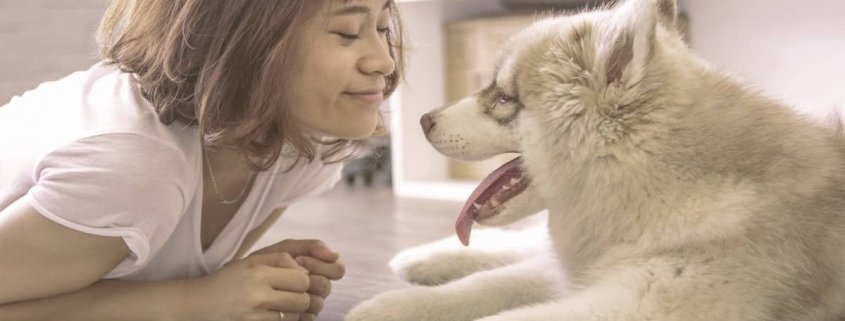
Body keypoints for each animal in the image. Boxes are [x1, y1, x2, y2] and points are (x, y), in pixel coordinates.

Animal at [344, 0, 844, 318]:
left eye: (503, 97)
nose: (422, 120)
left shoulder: (639, 300)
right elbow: (483, 286)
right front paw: (390, 306)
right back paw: (421, 258)